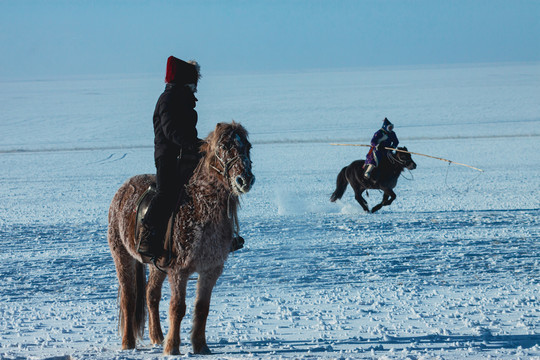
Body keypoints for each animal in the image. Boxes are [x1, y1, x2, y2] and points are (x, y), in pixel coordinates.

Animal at [108, 121, 256, 354]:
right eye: (224, 146)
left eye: (248, 146)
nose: (245, 179)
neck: (200, 208)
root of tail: (122, 190)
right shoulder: (179, 271)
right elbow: (178, 308)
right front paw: (172, 348)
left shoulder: (210, 270)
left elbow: (202, 308)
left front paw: (201, 346)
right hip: (122, 256)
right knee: (129, 297)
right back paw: (128, 343)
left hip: (156, 265)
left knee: (151, 294)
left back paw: (157, 337)